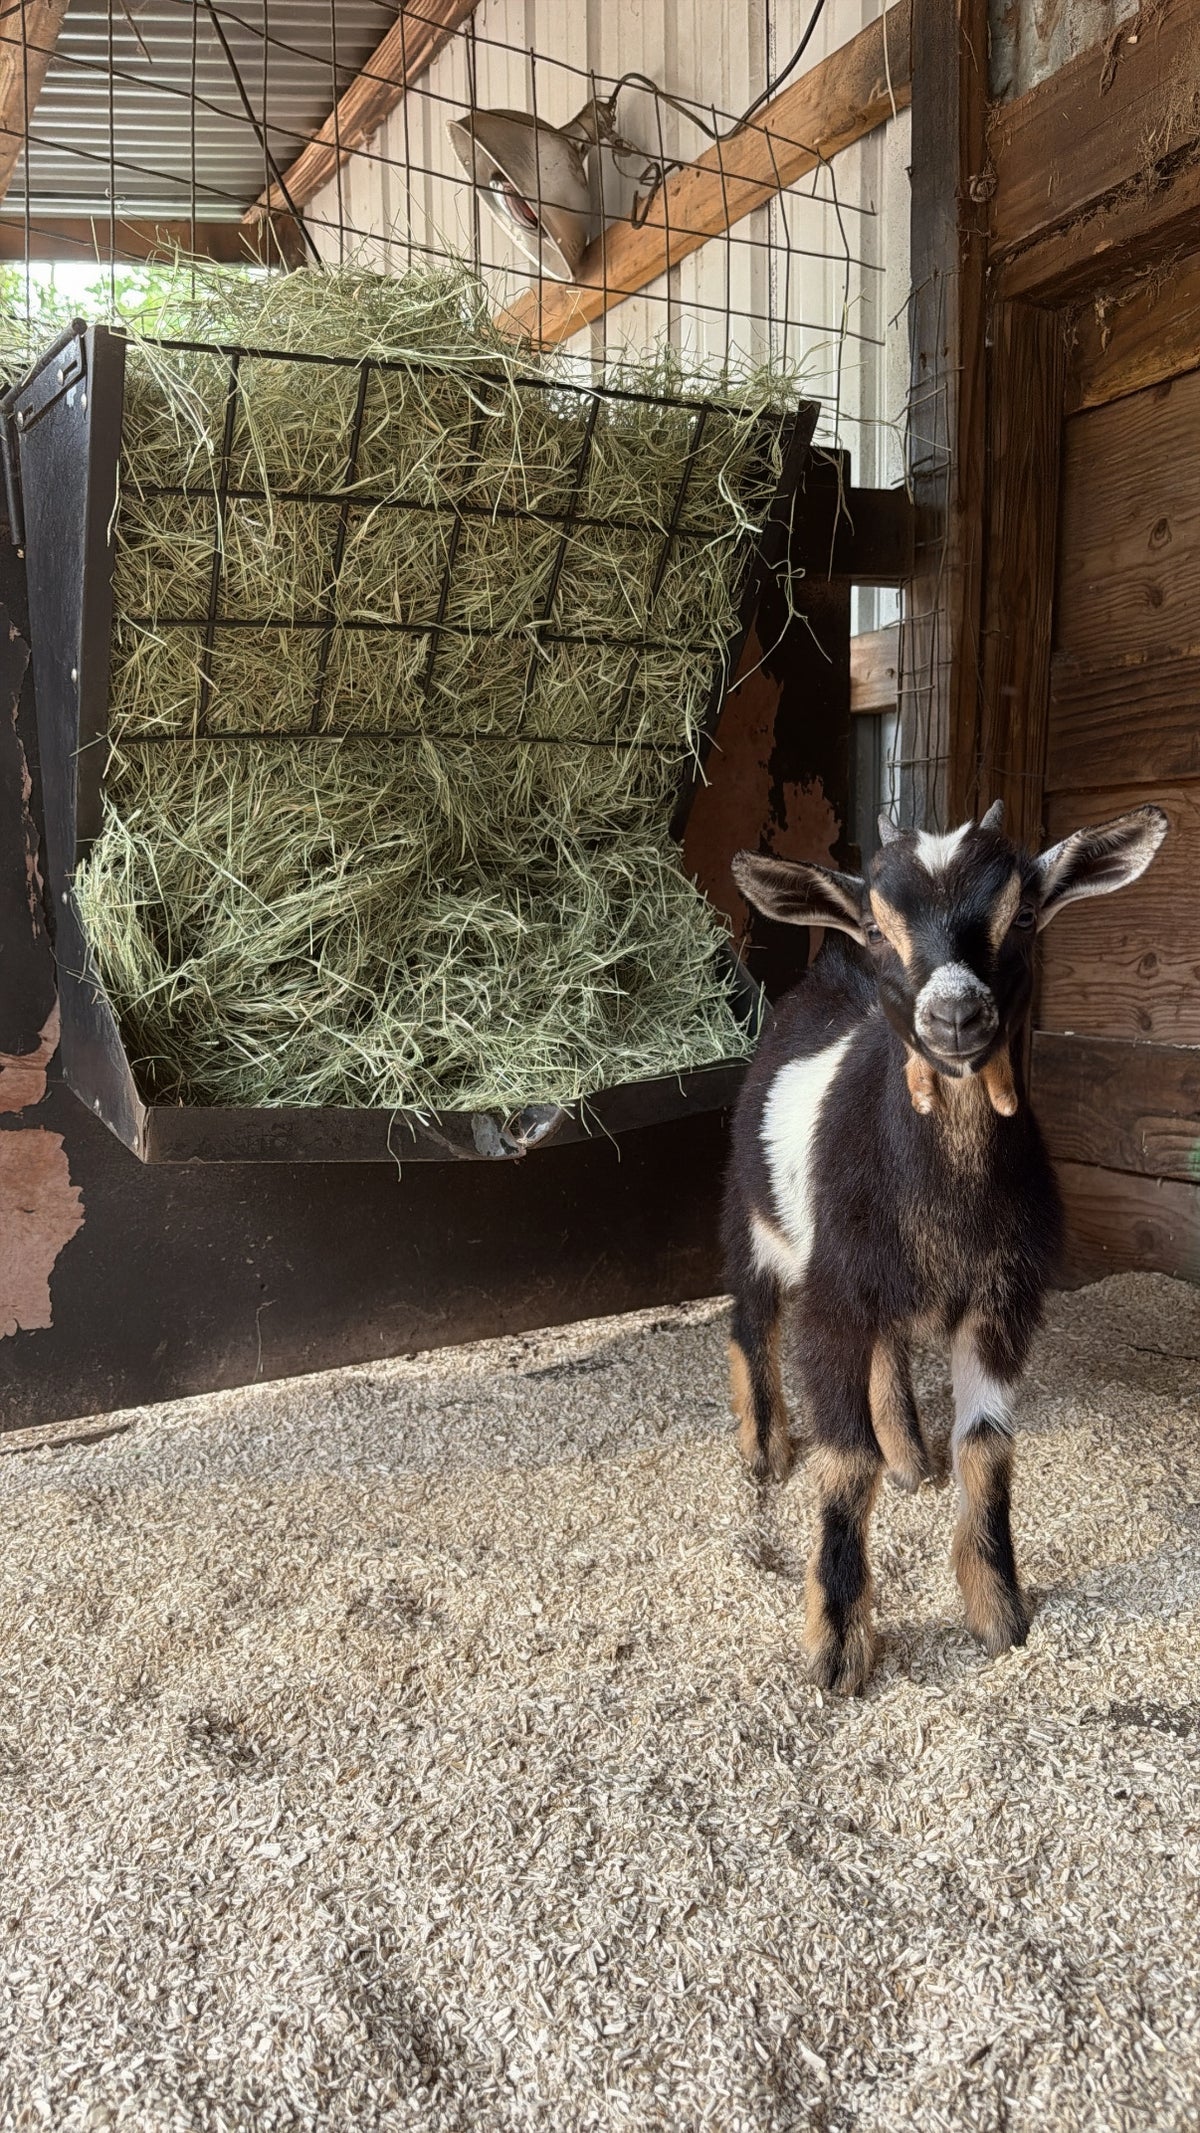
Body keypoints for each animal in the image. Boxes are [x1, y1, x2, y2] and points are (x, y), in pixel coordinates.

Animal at [723, 799, 1168, 1695]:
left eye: (1023, 914)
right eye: (875, 924)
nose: (956, 1013)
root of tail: (826, 978)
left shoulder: (1004, 1302)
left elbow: (988, 1447)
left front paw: (999, 1608)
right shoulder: (833, 1300)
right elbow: (844, 1461)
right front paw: (836, 1641)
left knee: (889, 1350)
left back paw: (908, 1452)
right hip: (755, 1213)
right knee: (750, 1316)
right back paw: (764, 1447)